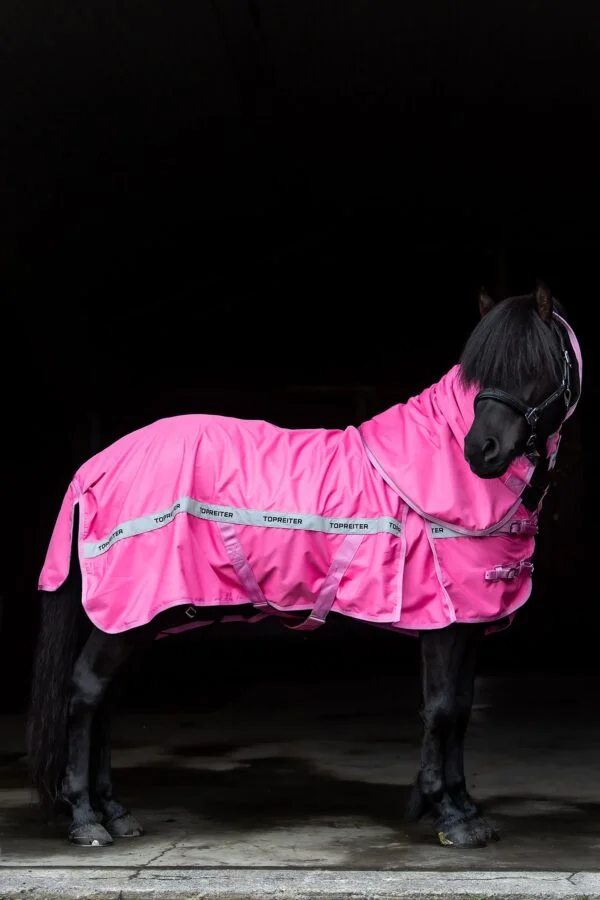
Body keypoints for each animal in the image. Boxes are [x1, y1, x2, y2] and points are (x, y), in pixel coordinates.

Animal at [27, 283, 582, 850]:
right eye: (478, 373)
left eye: (533, 367)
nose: (480, 451)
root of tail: (94, 466)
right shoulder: (443, 623)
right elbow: (443, 708)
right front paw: (449, 815)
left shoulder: (467, 625)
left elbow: (464, 709)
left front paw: (465, 807)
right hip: (123, 616)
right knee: (85, 693)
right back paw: (85, 817)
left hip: (135, 620)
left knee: (105, 700)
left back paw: (115, 811)